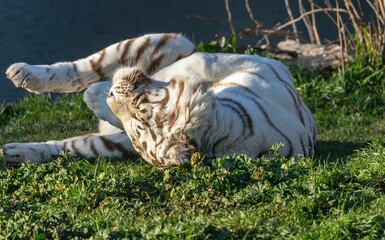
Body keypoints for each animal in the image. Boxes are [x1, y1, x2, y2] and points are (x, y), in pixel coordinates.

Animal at [2, 33, 316, 165]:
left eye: (138, 117)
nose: (113, 91)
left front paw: (97, 97)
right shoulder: (230, 63)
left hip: (111, 144)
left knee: (70, 146)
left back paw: (15, 151)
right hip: (168, 42)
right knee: (85, 66)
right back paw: (23, 73)